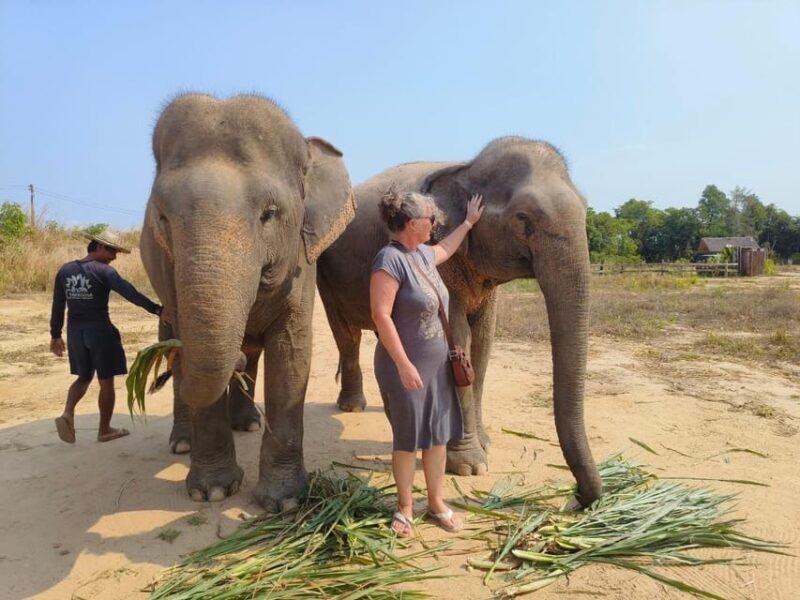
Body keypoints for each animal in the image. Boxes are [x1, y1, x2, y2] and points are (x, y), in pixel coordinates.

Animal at [140, 93, 355, 509]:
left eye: (269, 214)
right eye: (162, 217)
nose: (235, 360)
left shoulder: (302, 263)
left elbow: (291, 353)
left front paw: (284, 502)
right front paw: (212, 492)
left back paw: (247, 421)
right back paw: (183, 443)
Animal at [317, 137, 603, 507]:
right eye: (523, 217)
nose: (578, 498)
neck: (466, 168)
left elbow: (482, 344)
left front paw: (484, 443)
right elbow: (457, 338)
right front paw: (470, 466)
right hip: (324, 272)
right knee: (347, 335)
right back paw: (353, 407)